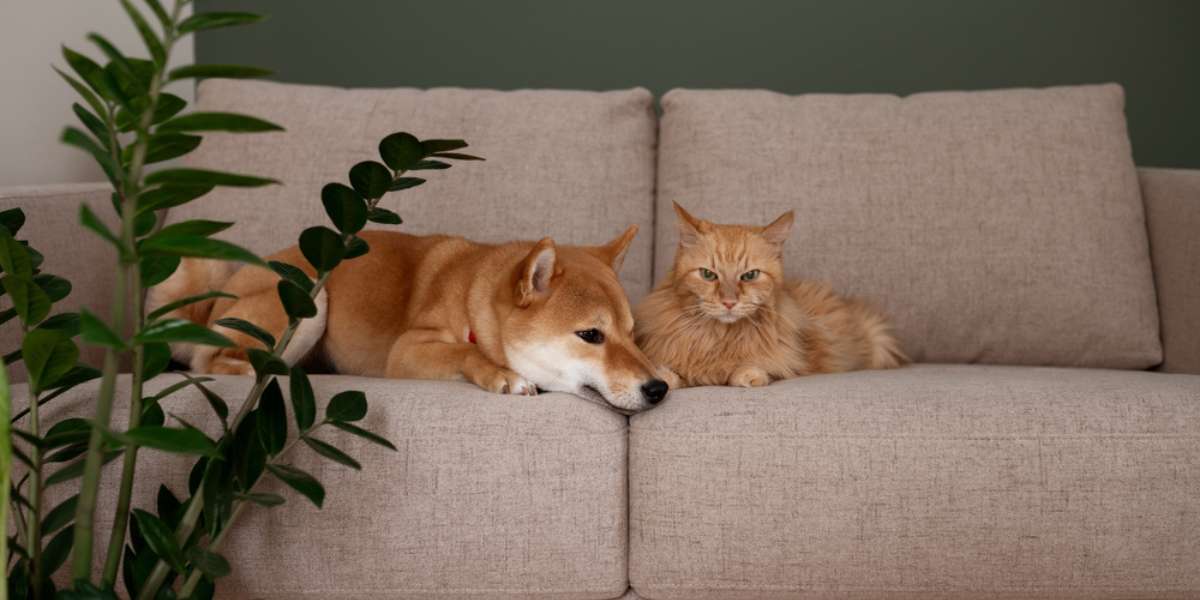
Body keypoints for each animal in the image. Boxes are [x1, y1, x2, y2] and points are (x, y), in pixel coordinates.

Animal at [146, 225, 672, 412]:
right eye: (590, 335)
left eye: (632, 335)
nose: (657, 390)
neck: (473, 302)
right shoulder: (407, 351)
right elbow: (464, 352)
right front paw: (502, 375)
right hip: (311, 302)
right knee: (212, 361)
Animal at [638, 202, 902, 388]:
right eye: (708, 274)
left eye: (750, 275)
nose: (729, 302)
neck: (720, 338)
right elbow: (670, 374)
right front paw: (664, 376)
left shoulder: (792, 360)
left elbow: (758, 367)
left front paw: (748, 374)